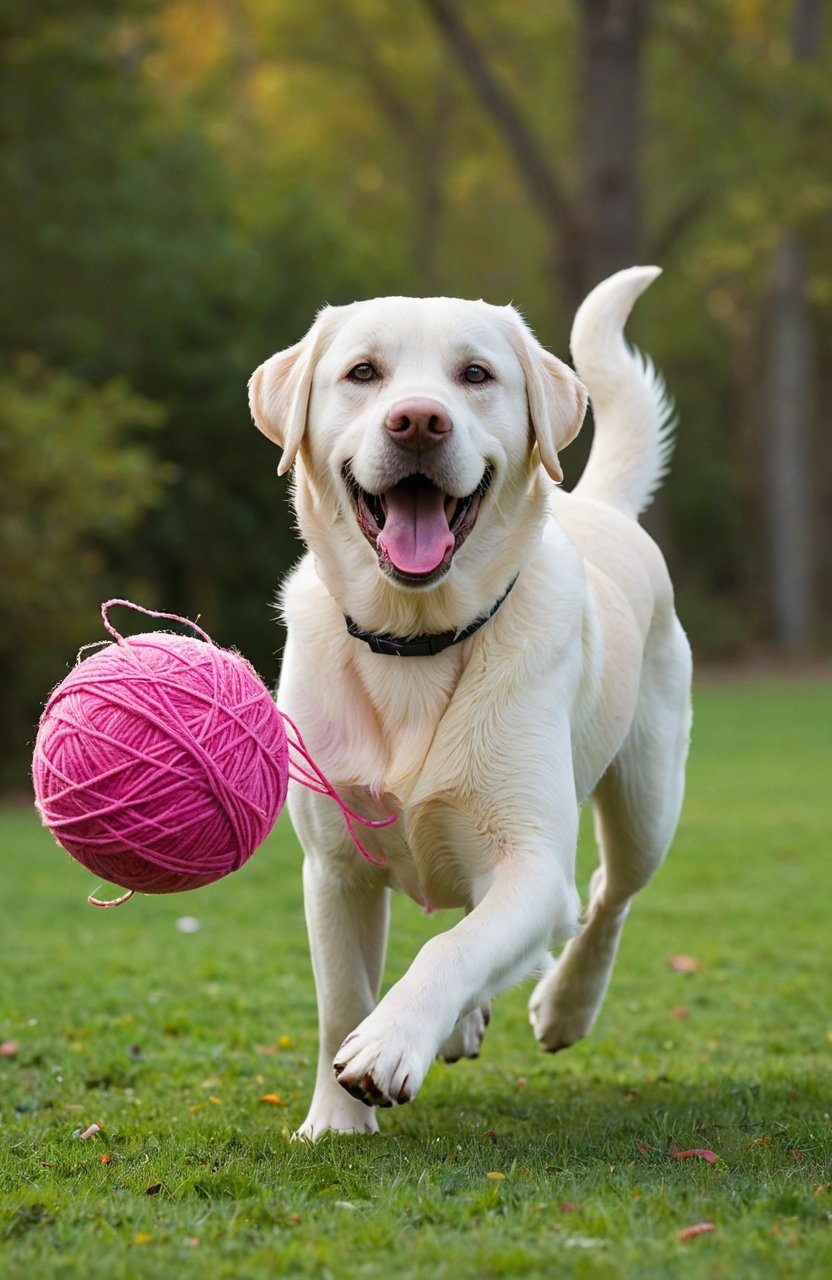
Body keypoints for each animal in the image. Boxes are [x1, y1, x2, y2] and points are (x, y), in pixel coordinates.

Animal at [249, 267, 691, 1141]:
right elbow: (339, 997)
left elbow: (451, 950)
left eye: (476, 375)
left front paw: (390, 1044)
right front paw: (336, 1121)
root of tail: (603, 507)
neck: (418, 640)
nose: (418, 420)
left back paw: (565, 1004)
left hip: (647, 802)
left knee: (602, 898)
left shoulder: (530, 860)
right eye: (363, 373)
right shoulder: (334, 867)